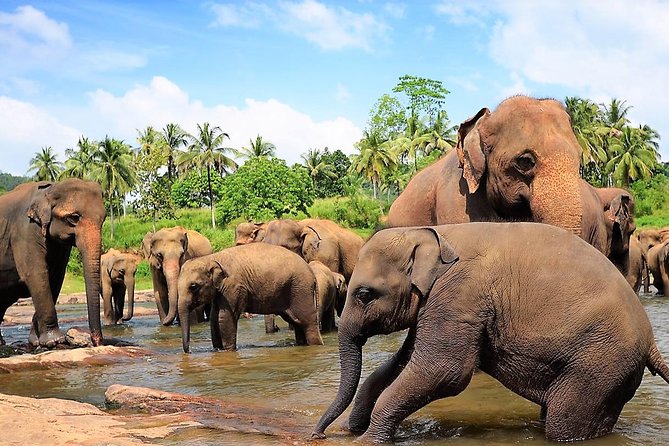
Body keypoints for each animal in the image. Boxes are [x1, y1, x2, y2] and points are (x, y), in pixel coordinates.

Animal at [0, 179, 105, 347]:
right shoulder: (24, 231)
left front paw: (36, 341)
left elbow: (56, 278)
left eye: (104, 218)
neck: (49, 189)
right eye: (74, 218)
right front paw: (54, 341)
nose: (96, 341)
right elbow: (36, 275)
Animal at [177, 243, 324, 352]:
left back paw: (316, 345)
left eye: (193, 286)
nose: (189, 351)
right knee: (296, 322)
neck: (211, 257)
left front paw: (228, 351)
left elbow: (225, 317)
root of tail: (312, 274)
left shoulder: (233, 286)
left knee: (308, 322)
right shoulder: (221, 291)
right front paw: (218, 350)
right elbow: (214, 318)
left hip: (300, 290)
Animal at [313, 223, 669, 442]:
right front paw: (352, 429)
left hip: (600, 364)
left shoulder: (459, 296)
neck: (436, 234)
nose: (318, 435)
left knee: (563, 423)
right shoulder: (438, 303)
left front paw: (366, 440)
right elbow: (403, 362)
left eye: (364, 295)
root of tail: (651, 342)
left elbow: (443, 371)